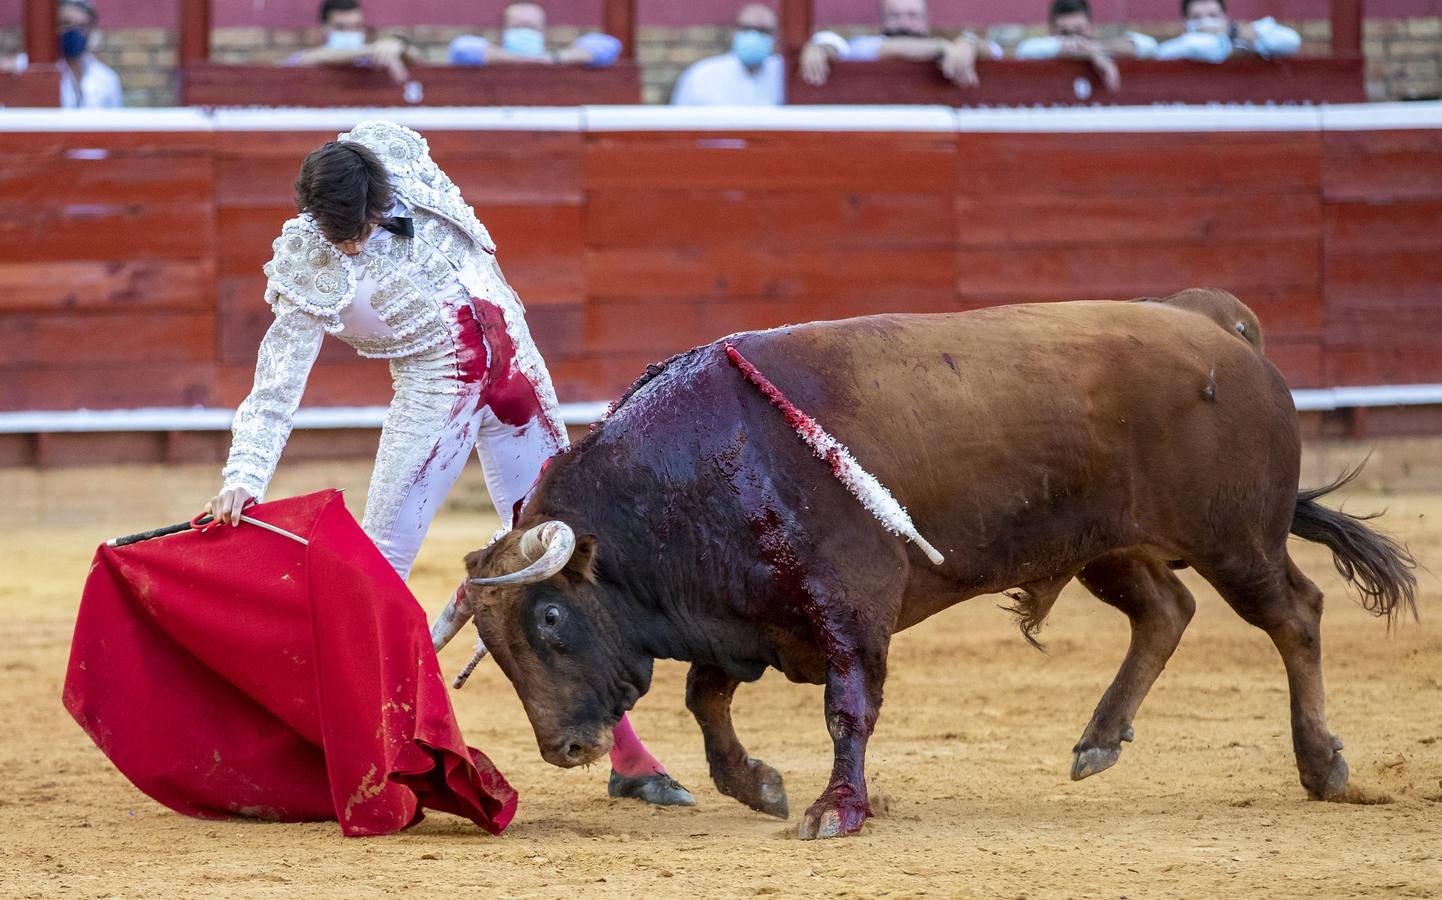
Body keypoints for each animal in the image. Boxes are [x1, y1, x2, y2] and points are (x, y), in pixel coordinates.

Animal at [429, 291, 1418, 842]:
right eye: (497, 649)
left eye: (550, 619)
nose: (564, 749)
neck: (702, 468)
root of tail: (1223, 331)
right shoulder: (747, 617)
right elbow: (706, 700)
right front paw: (761, 787)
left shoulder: (850, 605)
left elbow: (847, 707)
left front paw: (836, 811)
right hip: (1107, 546)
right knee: (1165, 612)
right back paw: (1099, 740)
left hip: (1236, 539)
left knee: (1295, 614)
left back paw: (1323, 766)